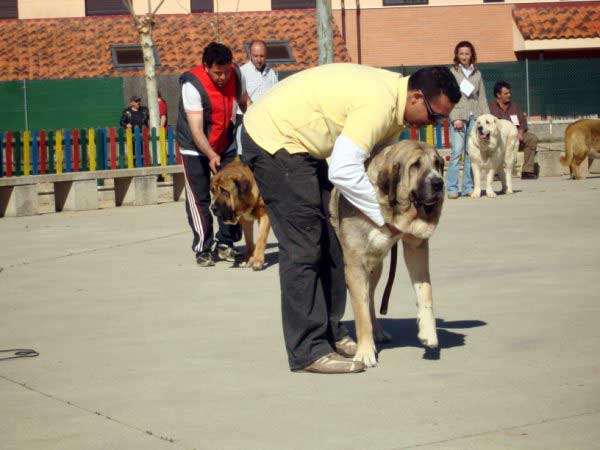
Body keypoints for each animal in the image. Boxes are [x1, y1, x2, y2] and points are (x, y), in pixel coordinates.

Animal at [328, 142, 446, 370]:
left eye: (437, 163)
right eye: (415, 165)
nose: (438, 183)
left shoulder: (416, 248)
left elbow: (425, 291)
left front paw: (429, 332)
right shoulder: (355, 266)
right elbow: (360, 314)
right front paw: (365, 353)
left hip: (376, 268)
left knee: (371, 300)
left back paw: (378, 332)